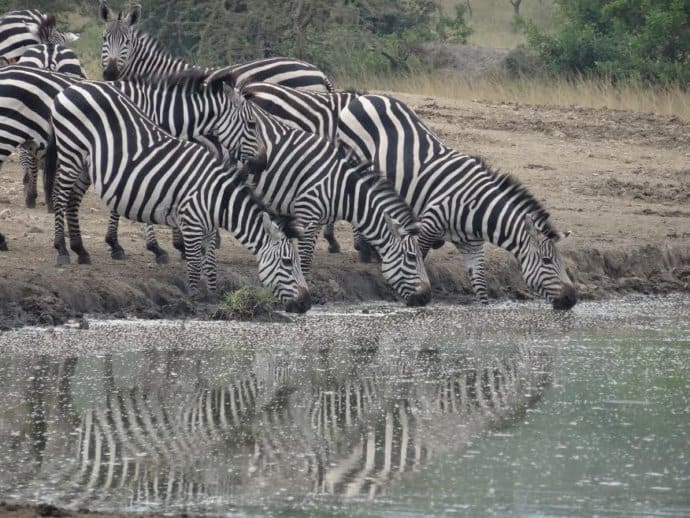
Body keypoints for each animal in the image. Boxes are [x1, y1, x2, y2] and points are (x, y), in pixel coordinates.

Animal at [45, 78, 310, 312]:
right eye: (288, 262)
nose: (306, 305)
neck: (218, 199)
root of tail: (75, 86)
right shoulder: (191, 225)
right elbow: (193, 270)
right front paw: (194, 303)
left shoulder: (208, 230)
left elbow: (210, 267)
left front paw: (213, 298)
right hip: (71, 151)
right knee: (61, 196)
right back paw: (62, 250)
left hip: (86, 162)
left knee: (73, 199)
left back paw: (80, 250)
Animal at [334, 95, 576, 310]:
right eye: (547, 261)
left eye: (561, 262)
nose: (571, 300)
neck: (477, 209)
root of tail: (363, 97)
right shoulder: (429, 225)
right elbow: (419, 258)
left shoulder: (473, 246)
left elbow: (480, 285)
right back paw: (364, 250)